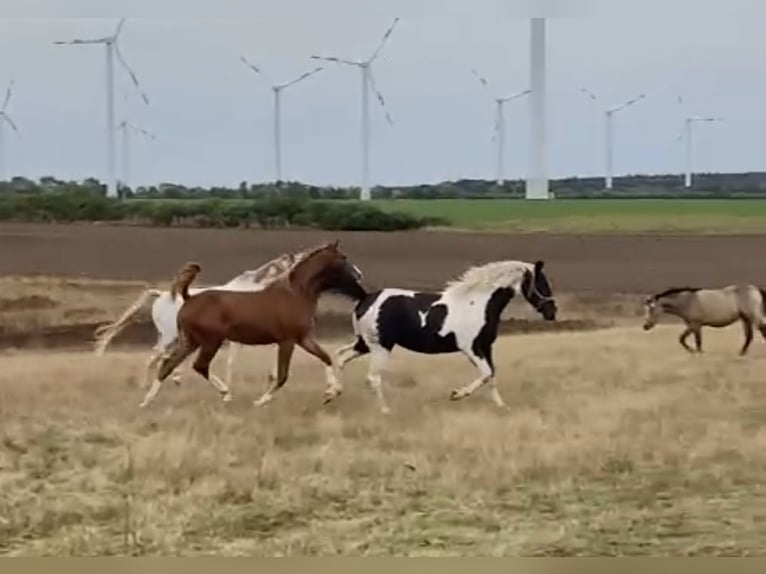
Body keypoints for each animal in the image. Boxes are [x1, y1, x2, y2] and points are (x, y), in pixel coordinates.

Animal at [94, 245, 320, 390]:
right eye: (294, 259)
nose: (308, 256)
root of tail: (161, 294)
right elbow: (232, 360)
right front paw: (229, 386)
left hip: (172, 336)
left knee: (159, 355)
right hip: (170, 335)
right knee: (156, 356)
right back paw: (152, 384)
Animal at [141, 241, 368, 412]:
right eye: (343, 258)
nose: (359, 274)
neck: (296, 294)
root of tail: (188, 298)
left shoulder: (303, 338)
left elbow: (325, 357)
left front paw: (331, 393)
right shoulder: (287, 341)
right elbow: (282, 375)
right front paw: (260, 401)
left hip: (191, 341)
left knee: (167, 365)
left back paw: (146, 401)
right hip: (210, 341)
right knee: (197, 365)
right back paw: (225, 393)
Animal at [334, 260, 560, 414]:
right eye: (542, 283)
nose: (552, 312)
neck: (479, 304)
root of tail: (365, 298)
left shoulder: (486, 347)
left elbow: (492, 376)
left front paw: (502, 407)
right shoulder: (471, 348)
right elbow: (486, 374)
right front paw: (457, 394)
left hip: (364, 344)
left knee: (339, 358)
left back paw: (333, 394)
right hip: (380, 347)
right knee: (372, 378)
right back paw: (385, 411)